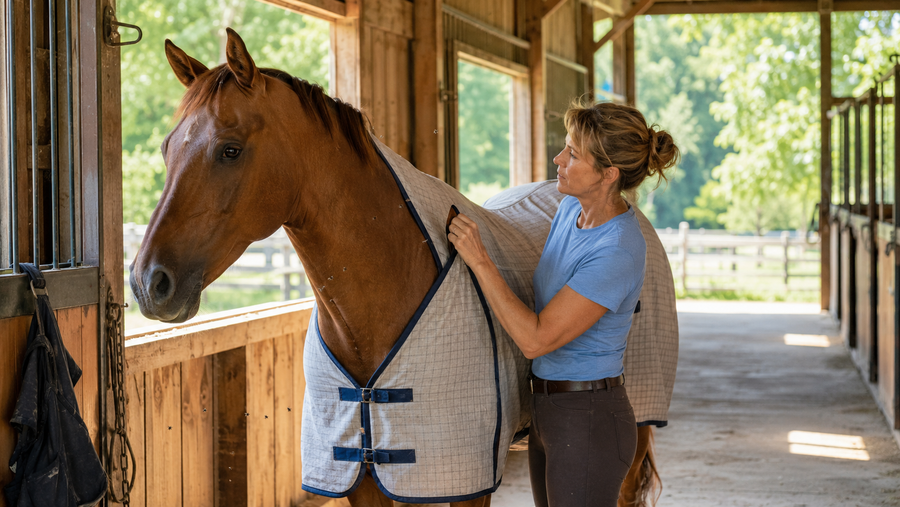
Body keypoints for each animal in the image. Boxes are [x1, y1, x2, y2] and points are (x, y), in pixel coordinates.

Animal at [130, 28, 662, 507]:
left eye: (230, 149)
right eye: (167, 148)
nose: (148, 283)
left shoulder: (463, 485)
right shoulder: (363, 481)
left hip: (635, 428)